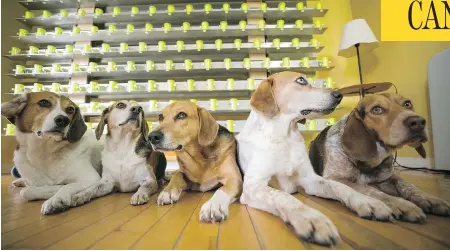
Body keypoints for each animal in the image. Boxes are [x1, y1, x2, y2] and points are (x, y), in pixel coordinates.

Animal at [237, 71, 402, 246]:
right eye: (301, 80)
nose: (339, 95)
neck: (284, 136)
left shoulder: (309, 179)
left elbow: (341, 187)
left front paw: (367, 201)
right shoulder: (253, 186)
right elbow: (283, 196)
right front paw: (311, 218)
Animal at [310, 92, 450, 220]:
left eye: (407, 104)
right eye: (377, 109)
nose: (418, 122)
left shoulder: (387, 177)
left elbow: (407, 185)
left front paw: (429, 198)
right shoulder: (335, 178)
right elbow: (370, 190)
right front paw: (401, 204)